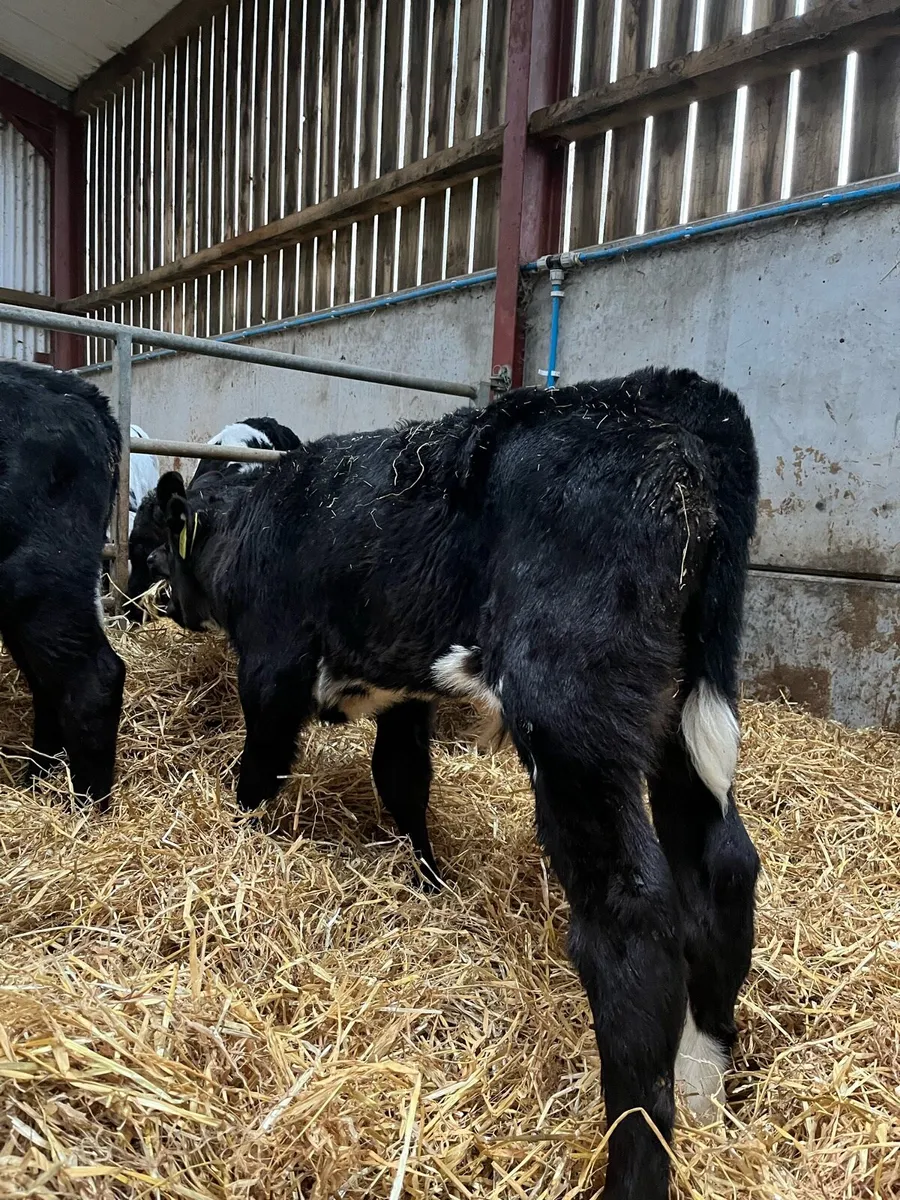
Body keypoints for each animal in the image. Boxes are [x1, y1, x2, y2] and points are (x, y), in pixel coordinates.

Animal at [154, 367, 760, 1200]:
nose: (168, 606)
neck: (254, 516)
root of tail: (668, 394)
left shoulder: (272, 672)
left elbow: (261, 768)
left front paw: (239, 839)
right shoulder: (404, 696)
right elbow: (403, 781)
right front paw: (427, 879)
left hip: (572, 713)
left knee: (630, 914)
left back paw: (637, 1163)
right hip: (684, 712)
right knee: (723, 864)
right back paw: (704, 1091)